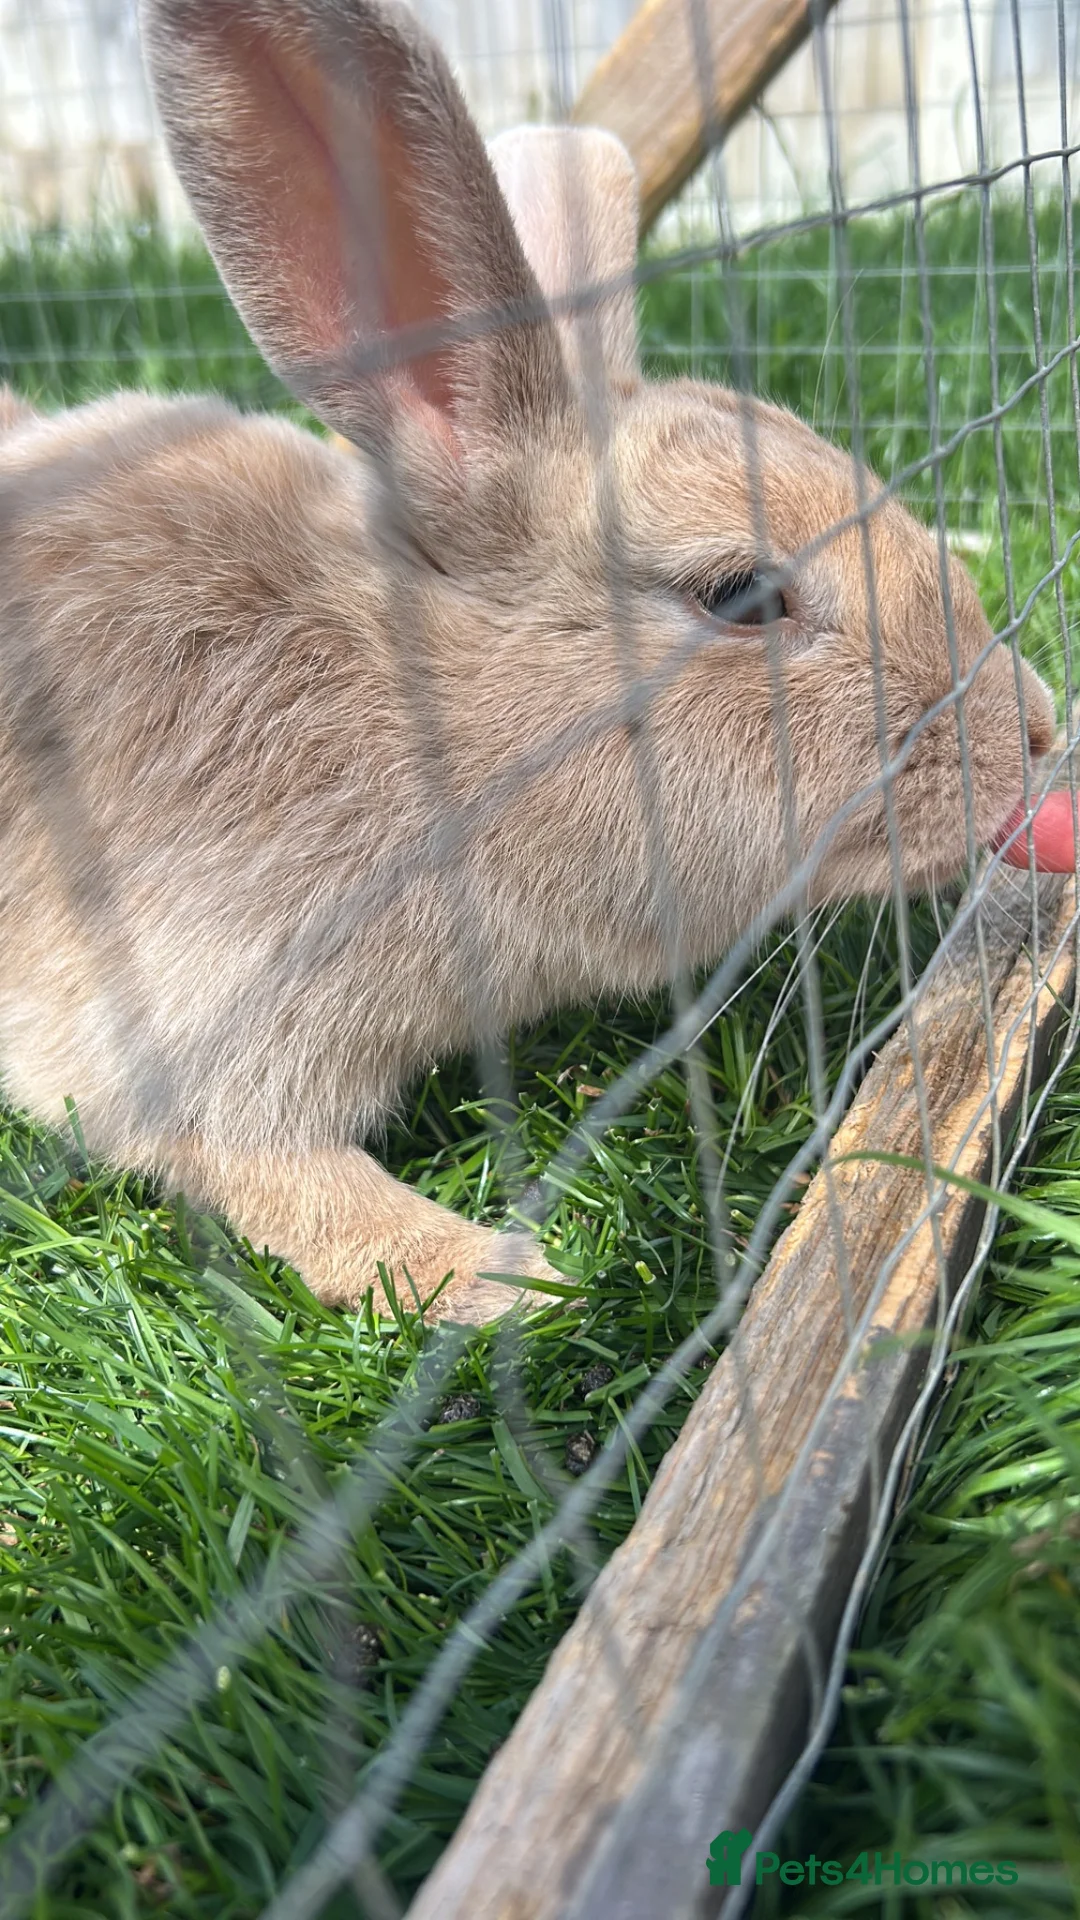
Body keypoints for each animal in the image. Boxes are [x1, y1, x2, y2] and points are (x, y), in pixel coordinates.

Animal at [0, 0, 1056, 1327]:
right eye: (743, 596)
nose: (1036, 729)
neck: (426, 719)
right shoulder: (194, 1021)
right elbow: (286, 1183)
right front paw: (508, 1279)